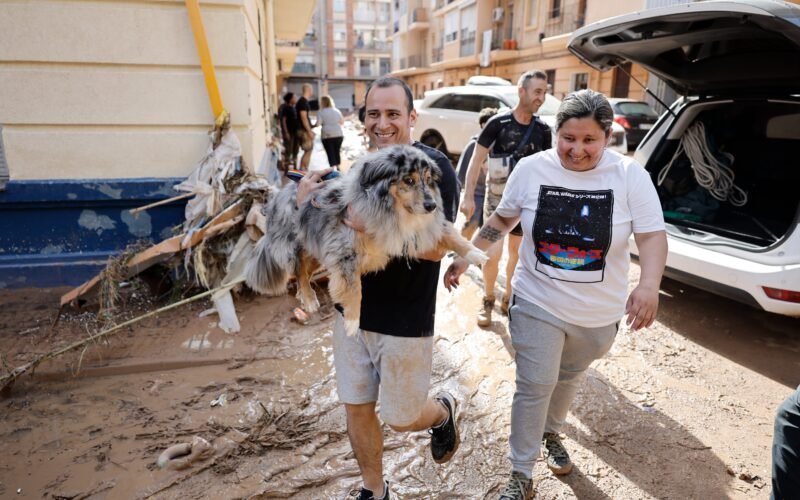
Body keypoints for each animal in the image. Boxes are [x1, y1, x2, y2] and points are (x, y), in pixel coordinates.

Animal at [245, 143, 488, 334]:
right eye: (409, 180)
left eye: (428, 180)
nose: (432, 206)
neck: (393, 211)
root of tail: (281, 192)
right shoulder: (344, 254)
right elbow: (355, 291)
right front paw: (353, 322)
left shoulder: (419, 229)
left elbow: (451, 235)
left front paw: (476, 254)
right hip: (297, 244)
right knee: (297, 269)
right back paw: (310, 298)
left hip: (318, 252)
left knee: (304, 271)